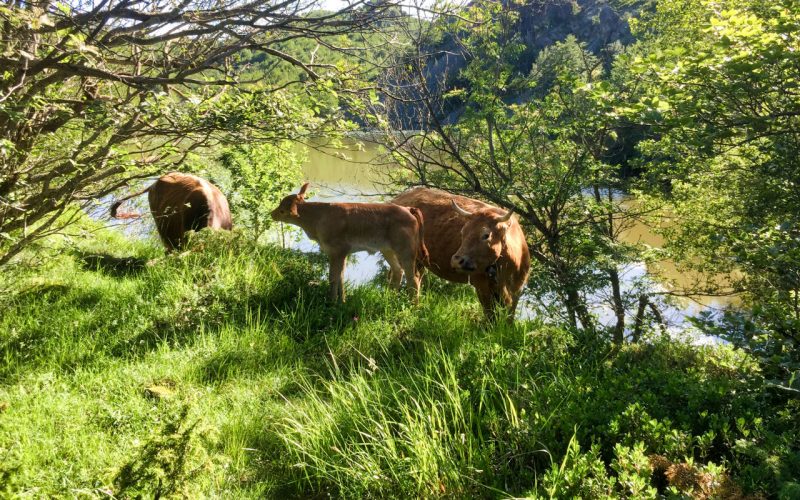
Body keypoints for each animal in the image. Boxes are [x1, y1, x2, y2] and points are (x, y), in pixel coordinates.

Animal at [270, 183, 432, 302]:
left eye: (282, 209)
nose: (272, 214)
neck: (317, 218)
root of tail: (408, 209)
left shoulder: (337, 251)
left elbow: (333, 278)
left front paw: (332, 303)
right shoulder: (342, 254)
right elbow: (340, 278)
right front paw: (342, 301)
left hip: (406, 251)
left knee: (413, 279)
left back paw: (413, 307)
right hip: (388, 250)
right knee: (398, 272)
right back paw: (388, 300)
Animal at [392, 187, 532, 320]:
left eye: (486, 235)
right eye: (462, 232)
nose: (456, 260)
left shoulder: (517, 290)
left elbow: (509, 315)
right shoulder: (482, 286)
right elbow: (490, 314)